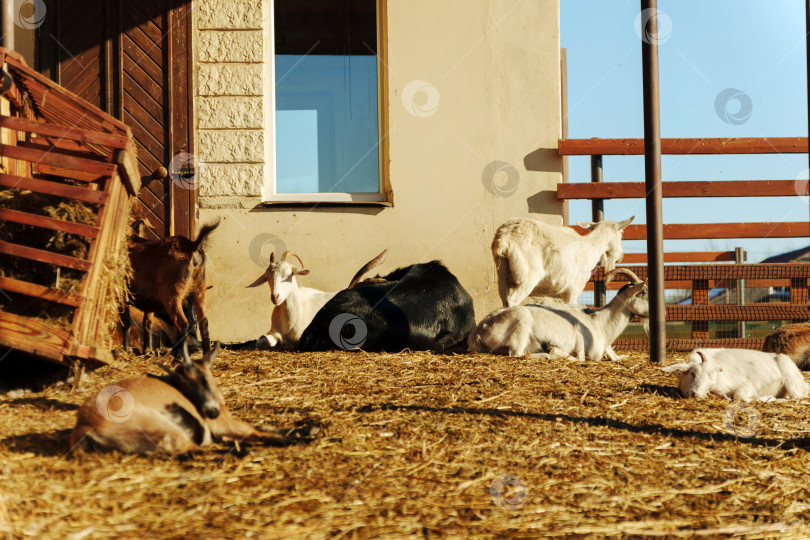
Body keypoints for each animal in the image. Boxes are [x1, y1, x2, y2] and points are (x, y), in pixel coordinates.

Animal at [70, 342, 283, 454]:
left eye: (204, 378)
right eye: (184, 382)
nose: (211, 411)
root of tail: (85, 425)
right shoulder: (225, 425)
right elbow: (257, 431)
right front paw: (289, 436)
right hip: (165, 428)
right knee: (194, 448)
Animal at [122, 220, 219, 355]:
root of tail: (192, 245)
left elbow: (126, 322)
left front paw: (128, 349)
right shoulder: (150, 300)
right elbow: (147, 322)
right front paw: (148, 350)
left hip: (172, 295)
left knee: (182, 323)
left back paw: (179, 356)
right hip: (199, 291)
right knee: (204, 322)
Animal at [468, 268, 648, 360]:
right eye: (644, 292)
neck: (599, 323)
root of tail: (479, 331)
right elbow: (582, 358)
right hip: (521, 326)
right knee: (517, 354)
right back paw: (551, 354)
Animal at [491, 216, 634, 307]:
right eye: (621, 233)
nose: (621, 256)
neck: (592, 245)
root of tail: (504, 239)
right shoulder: (574, 288)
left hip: (502, 276)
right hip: (526, 276)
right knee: (512, 301)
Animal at [661, 348, 810, 401]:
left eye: (711, 382)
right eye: (692, 373)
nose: (697, 395)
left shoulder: (745, 386)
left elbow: (739, 397)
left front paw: (761, 398)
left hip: (789, 375)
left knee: (795, 397)